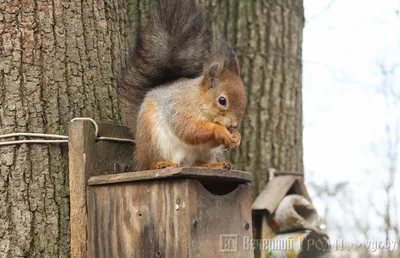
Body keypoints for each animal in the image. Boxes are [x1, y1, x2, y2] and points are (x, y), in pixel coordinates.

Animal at [117, 0, 245, 171]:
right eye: (222, 100)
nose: (234, 125)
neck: (201, 101)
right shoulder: (180, 108)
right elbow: (189, 130)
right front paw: (220, 130)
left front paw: (236, 137)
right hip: (154, 140)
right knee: (151, 163)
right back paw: (162, 164)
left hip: (207, 153)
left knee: (198, 163)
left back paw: (216, 164)